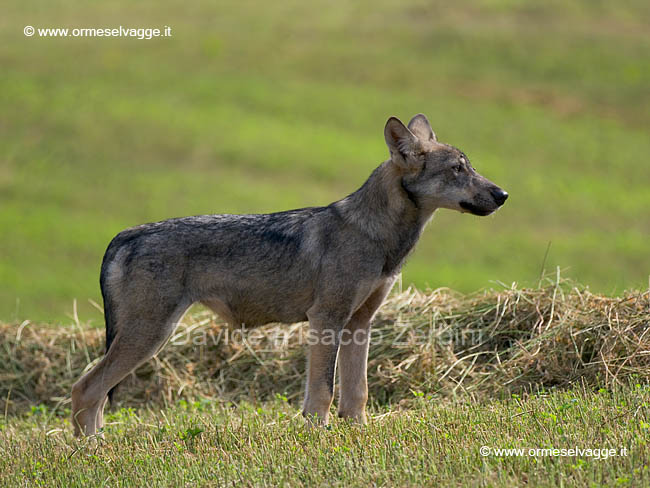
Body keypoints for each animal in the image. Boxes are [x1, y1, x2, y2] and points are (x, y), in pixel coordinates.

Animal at [72, 113, 506, 434]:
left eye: (470, 167)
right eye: (458, 169)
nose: (503, 194)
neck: (377, 236)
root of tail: (127, 234)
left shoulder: (359, 324)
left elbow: (357, 395)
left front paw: (359, 435)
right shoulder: (326, 320)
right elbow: (322, 393)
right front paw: (317, 436)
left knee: (91, 393)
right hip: (150, 336)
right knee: (85, 389)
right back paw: (92, 452)